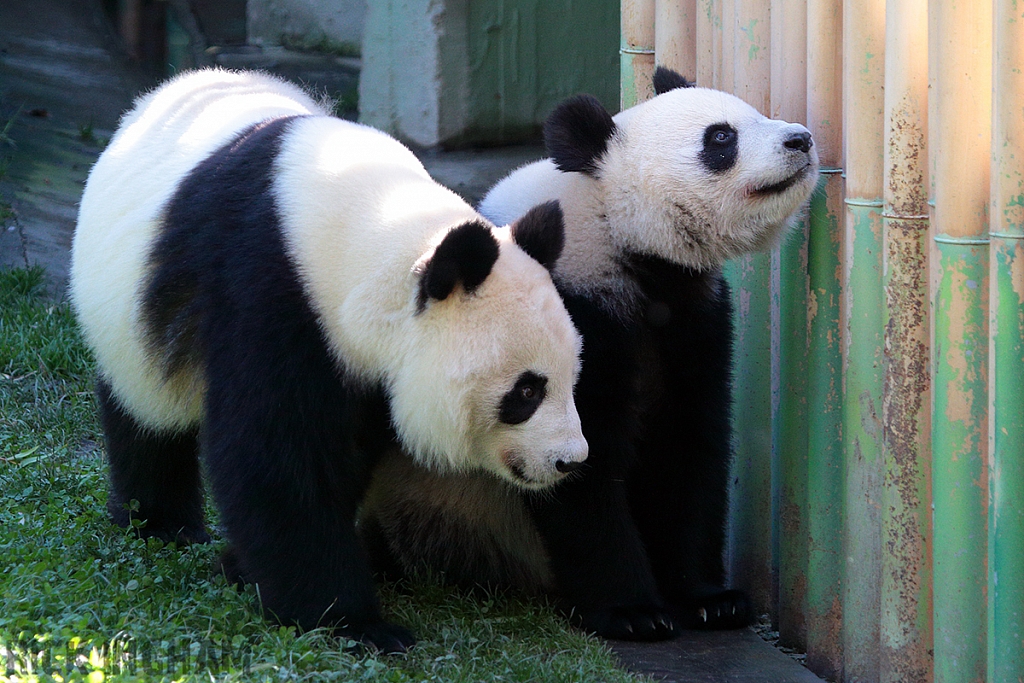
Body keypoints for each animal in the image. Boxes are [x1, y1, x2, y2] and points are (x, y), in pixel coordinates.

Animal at [68, 68, 589, 651]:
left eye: (571, 378)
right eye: (527, 391)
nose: (569, 460)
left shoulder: (368, 371)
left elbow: (349, 453)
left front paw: (246, 569)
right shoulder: (271, 294)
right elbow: (275, 457)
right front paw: (352, 621)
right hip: (124, 310)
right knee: (145, 411)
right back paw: (160, 523)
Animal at [356, 68, 819, 643]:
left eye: (754, 113)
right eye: (720, 138)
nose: (801, 139)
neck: (618, 235)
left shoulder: (696, 320)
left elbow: (690, 444)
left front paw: (711, 600)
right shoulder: (570, 314)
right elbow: (580, 462)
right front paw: (634, 611)